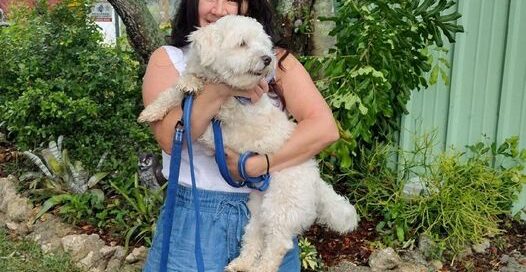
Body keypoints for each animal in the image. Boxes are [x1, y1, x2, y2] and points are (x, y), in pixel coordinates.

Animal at [138, 14, 360, 272]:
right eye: (243, 43)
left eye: (263, 45)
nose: (268, 59)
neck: (221, 84)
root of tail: (315, 179)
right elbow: (173, 92)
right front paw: (156, 108)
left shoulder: (231, 109)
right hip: (258, 206)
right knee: (254, 235)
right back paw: (241, 263)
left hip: (281, 204)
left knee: (278, 244)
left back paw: (260, 267)